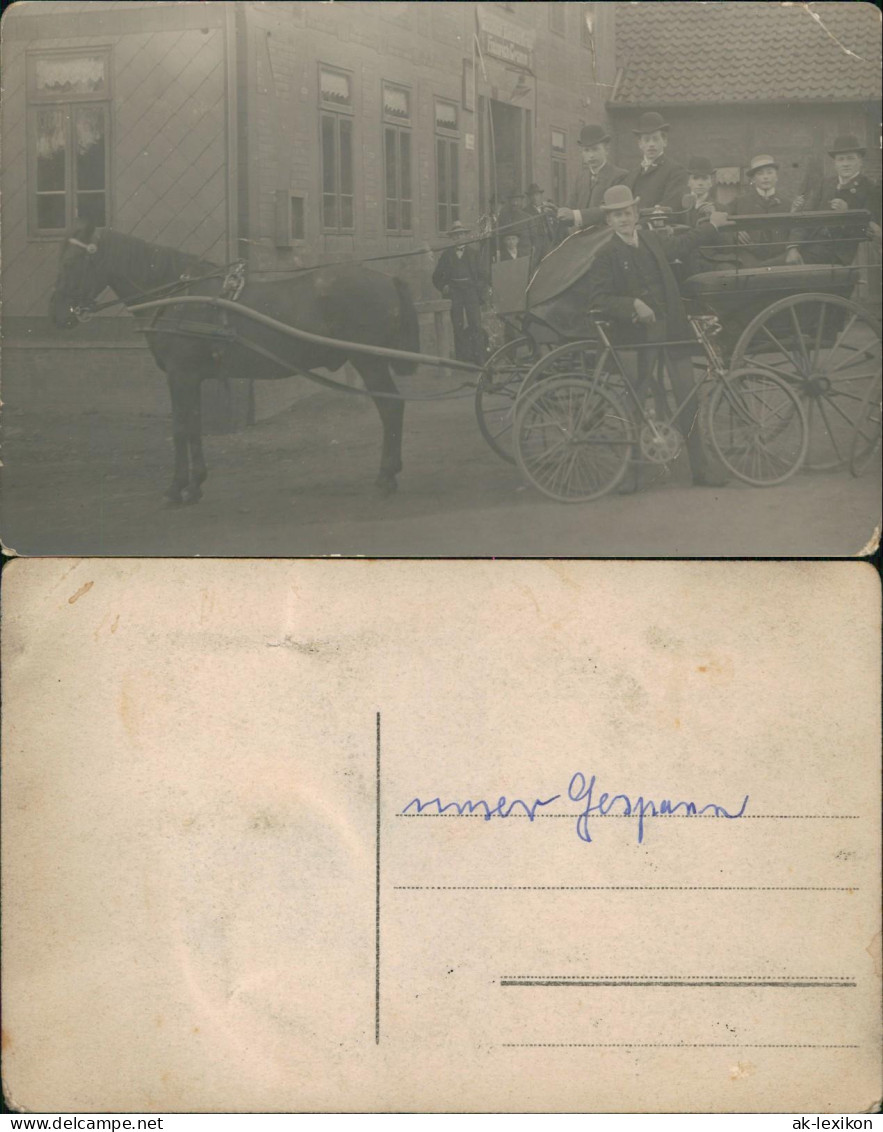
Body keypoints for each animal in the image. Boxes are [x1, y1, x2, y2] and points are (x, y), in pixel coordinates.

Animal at [48, 223, 421, 502]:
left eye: (71, 263)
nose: (56, 315)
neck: (178, 298)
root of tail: (387, 279)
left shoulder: (180, 376)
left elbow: (180, 427)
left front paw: (176, 488)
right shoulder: (194, 378)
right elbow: (194, 425)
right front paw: (196, 484)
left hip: (370, 363)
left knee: (391, 408)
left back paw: (386, 476)